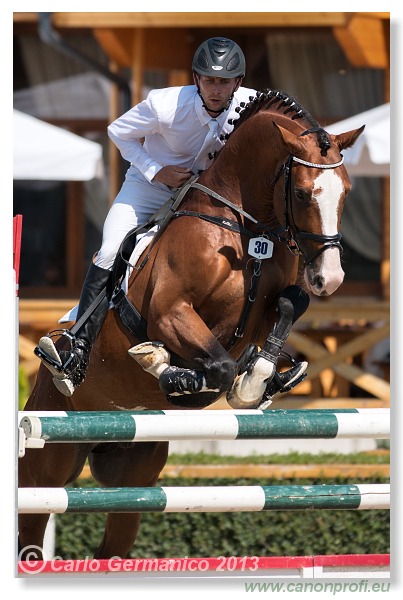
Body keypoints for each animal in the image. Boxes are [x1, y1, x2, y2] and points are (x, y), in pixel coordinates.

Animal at [19, 90, 364, 564]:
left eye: (346, 190)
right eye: (300, 191)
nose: (329, 278)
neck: (241, 226)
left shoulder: (265, 309)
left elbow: (290, 305)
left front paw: (262, 378)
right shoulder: (170, 313)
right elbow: (216, 367)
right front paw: (170, 369)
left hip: (135, 478)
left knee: (113, 542)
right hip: (46, 463)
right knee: (32, 522)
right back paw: (67, 356)